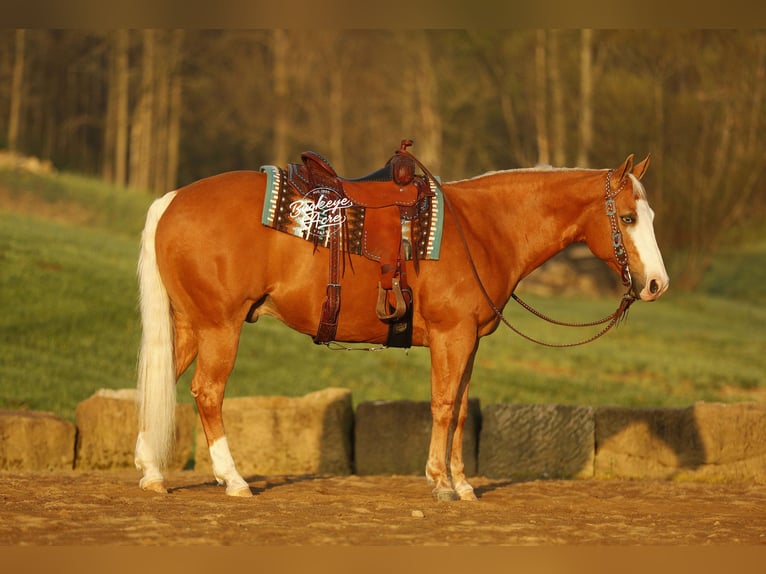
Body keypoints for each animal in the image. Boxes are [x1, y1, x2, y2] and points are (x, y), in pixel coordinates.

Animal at [134, 150, 669, 501]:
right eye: (627, 217)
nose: (657, 284)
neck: (482, 227)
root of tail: (172, 200)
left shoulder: (469, 341)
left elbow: (459, 409)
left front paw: (462, 483)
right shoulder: (452, 336)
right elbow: (443, 405)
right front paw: (440, 482)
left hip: (190, 326)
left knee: (164, 383)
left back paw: (152, 472)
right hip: (220, 326)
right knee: (207, 392)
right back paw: (234, 480)